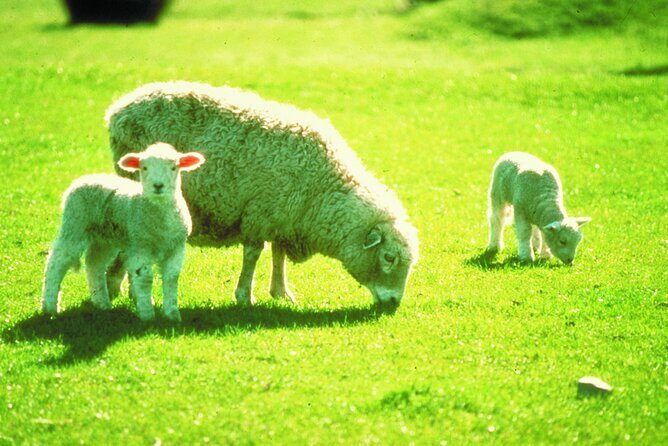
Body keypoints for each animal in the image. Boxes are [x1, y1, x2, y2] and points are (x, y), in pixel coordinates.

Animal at [41, 142, 205, 321]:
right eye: (144, 167)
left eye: (174, 167)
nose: (158, 186)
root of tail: (83, 179)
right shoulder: (139, 246)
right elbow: (145, 279)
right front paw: (147, 315)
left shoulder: (176, 248)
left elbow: (172, 278)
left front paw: (172, 315)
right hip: (74, 224)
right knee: (57, 262)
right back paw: (49, 307)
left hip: (104, 239)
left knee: (94, 264)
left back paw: (102, 303)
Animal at [105, 81, 419, 306]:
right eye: (389, 257)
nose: (394, 303)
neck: (323, 189)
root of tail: (118, 109)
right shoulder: (260, 211)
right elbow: (254, 254)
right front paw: (245, 295)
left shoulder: (284, 215)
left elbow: (278, 254)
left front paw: (281, 292)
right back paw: (127, 290)